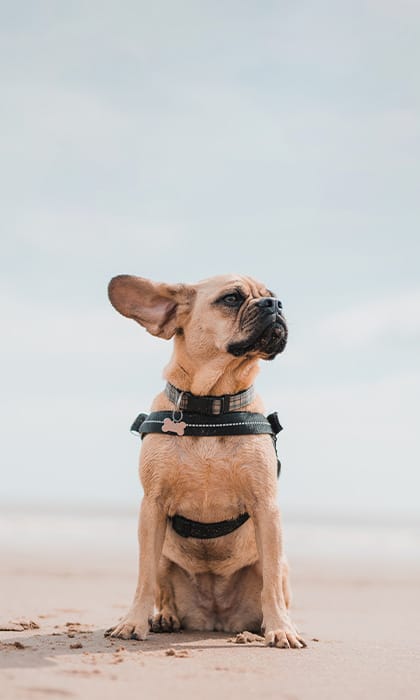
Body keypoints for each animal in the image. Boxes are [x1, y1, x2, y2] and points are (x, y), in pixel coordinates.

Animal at [106, 274, 306, 652]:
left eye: (274, 297)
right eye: (231, 298)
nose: (275, 305)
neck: (212, 403)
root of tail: (216, 619)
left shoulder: (266, 508)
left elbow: (271, 583)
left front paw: (281, 629)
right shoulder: (152, 507)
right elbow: (144, 578)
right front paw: (133, 621)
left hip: (281, 563)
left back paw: (265, 625)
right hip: (166, 558)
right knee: (162, 588)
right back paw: (165, 618)